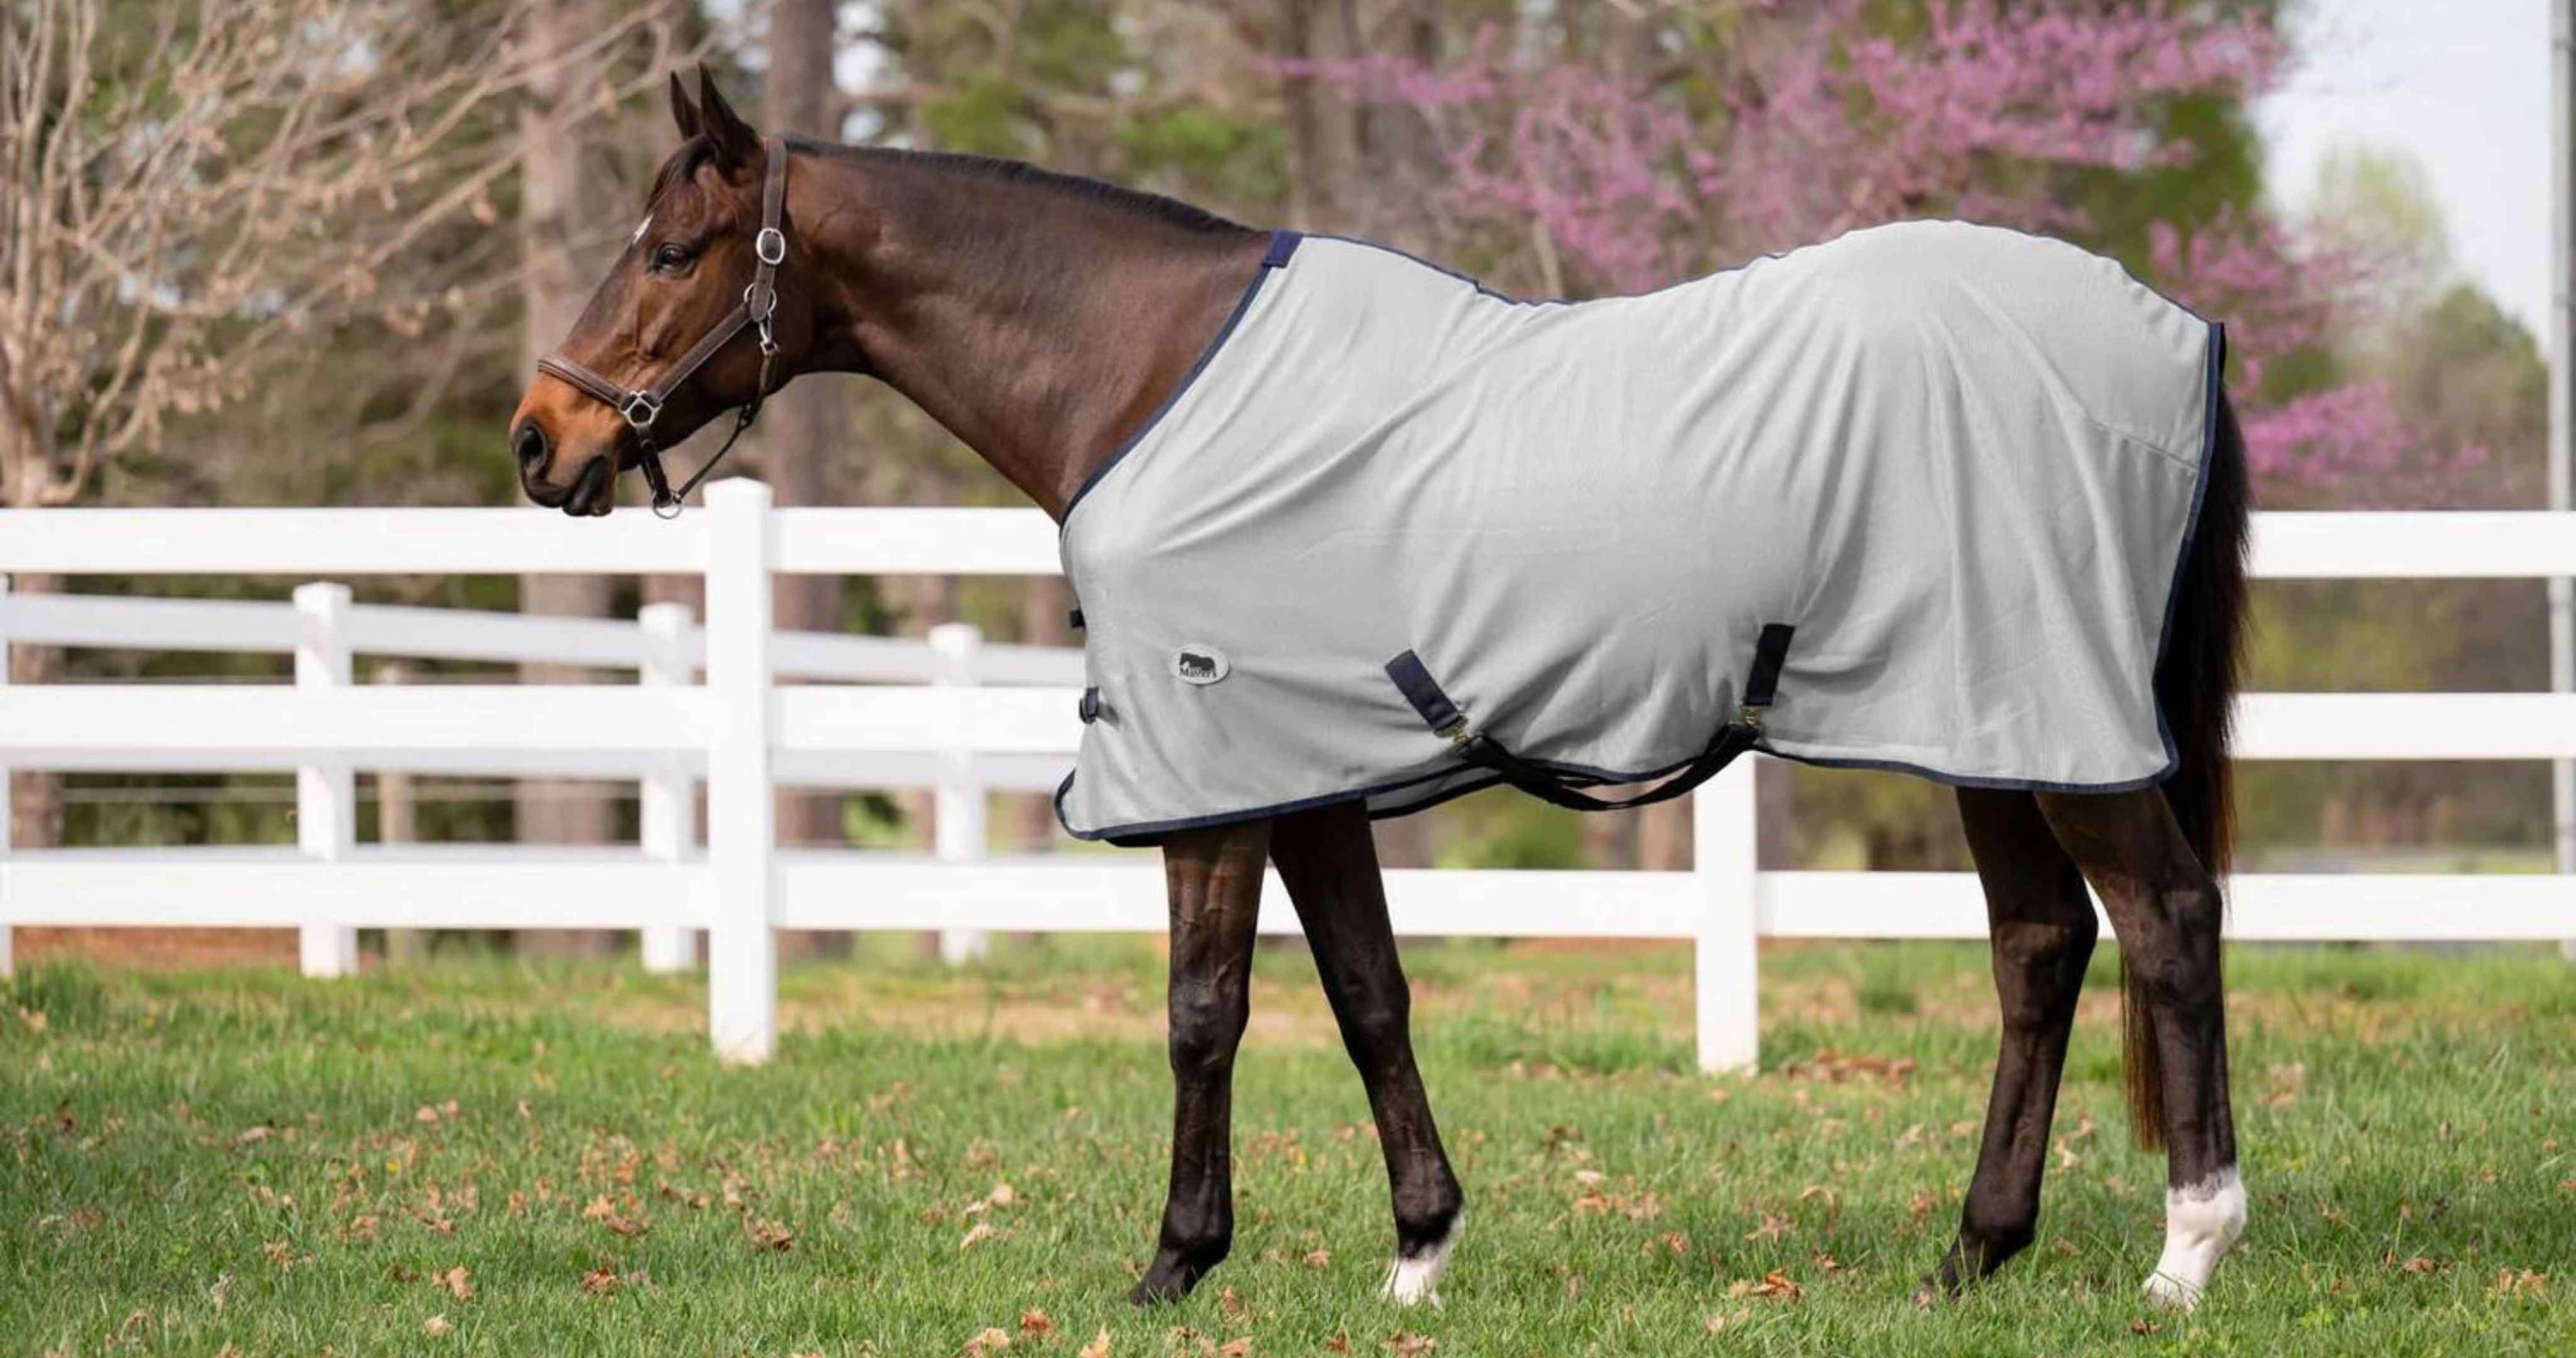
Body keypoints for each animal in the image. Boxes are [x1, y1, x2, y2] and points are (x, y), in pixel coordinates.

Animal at [511, 68, 2249, 1313]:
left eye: (671, 250)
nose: (542, 438)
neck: (1143, 376)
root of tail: (2178, 329)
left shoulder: (1211, 769)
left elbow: (1202, 1009)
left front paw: (1172, 1263)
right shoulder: (1304, 770)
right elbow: (1367, 993)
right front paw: (1419, 1248)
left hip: (2057, 729)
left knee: (2166, 919)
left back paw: (2187, 1247)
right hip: (1985, 723)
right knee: (2041, 947)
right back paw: (1973, 1251)